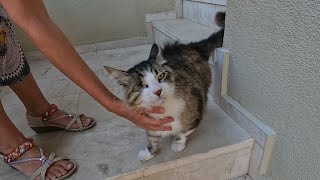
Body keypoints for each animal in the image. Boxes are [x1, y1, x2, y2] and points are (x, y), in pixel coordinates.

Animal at [104, 11, 225, 161]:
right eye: (142, 85)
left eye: (161, 76)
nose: (158, 91)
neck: (164, 110)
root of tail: (192, 46)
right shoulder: (149, 122)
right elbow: (152, 138)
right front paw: (149, 152)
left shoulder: (196, 112)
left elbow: (184, 131)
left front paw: (177, 144)